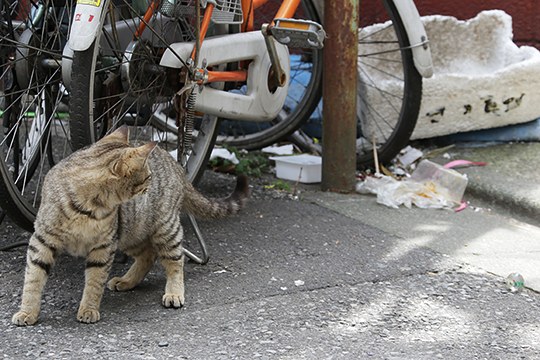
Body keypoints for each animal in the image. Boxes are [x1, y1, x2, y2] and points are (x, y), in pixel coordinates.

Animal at [12, 127, 249, 326]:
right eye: (147, 176)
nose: (150, 185)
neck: (87, 208)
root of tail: (177, 165)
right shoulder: (42, 242)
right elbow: (33, 280)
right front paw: (27, 312)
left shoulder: (104, 247)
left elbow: (94, 283)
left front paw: (88, 309)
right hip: (131, 233)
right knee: (148, 255)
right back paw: (127, 281)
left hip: (164, 228)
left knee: (175, 261)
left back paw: (174, 292)